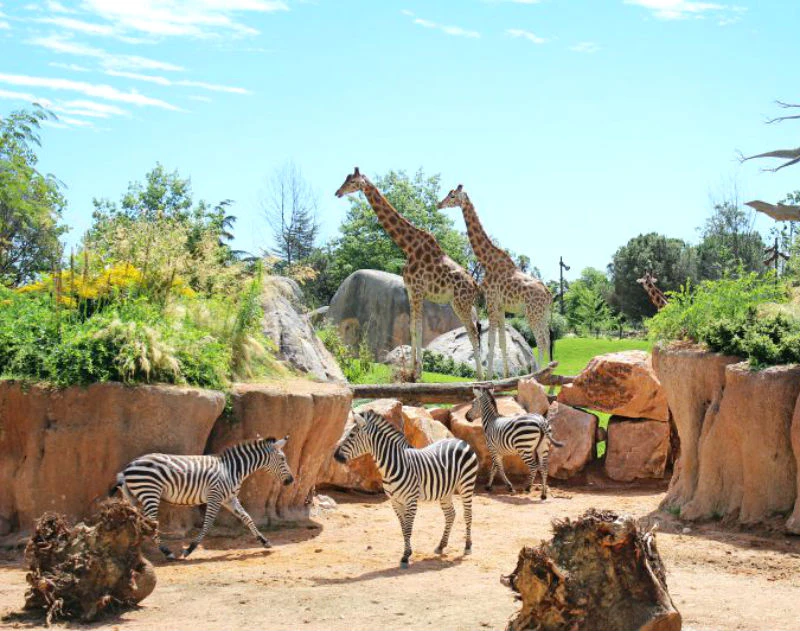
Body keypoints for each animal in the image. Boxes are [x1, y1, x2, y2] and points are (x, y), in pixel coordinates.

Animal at [110, 436, 294, 559]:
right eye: (283, 458)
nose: (291, 480)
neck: (232, 470)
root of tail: (128, 467)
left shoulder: (229, 498)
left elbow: (247, 517)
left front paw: (264, 541)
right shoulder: (215, 497)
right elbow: (207, 524)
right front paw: (189, 549)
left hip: (136, 496)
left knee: (137, 520)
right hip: (150, 493)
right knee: (151, 522)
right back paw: (167, 552)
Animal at [334, 409, 478, 567]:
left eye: (351, 435)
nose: (335, 456)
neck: (393, 466)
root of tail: (459, 440)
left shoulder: (411, 500)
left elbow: (408, 528)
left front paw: (405, 557)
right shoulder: (395, 501)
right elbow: (403, 528)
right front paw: (407, 553)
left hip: (467, 484)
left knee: (468, 515)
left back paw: (468, 546)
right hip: (445, 490)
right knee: (450, 514)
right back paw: (441, 545)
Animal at [335, 168, 483, 380]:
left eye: (353, 182)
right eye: (346, 179)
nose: (337, 192)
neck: (408, 246)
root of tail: (475, 285)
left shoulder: (419, 290)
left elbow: (419, 328)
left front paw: (418, 372)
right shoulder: (411, 290)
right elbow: (412, 329)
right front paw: (411, 372)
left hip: (460, 303)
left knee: (472, 332)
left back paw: (481, 376)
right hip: (462, 304)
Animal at [438, 185, 552, 377]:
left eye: (452, 196)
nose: (439, 204)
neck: (487, 260)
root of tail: (548, 294)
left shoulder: (491, 302)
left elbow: (491, 341)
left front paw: (490, 377)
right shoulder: (500, 306)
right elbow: (502, 342)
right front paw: (505, 376)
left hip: (532, 313)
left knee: (542, 342)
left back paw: (538, 375)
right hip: (542, 314)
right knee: (549, 340)